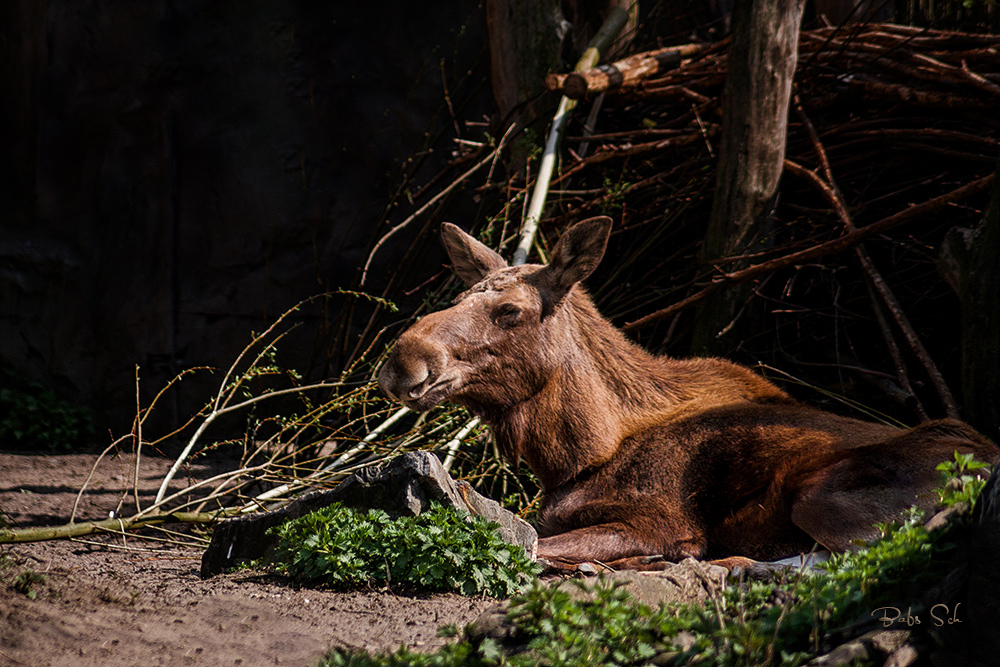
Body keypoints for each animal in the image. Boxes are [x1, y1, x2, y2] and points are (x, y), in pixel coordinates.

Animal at [378, 217, 996, 572]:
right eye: (460, 297)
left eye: (510, 311)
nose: (402, 362)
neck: (576, 455)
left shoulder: (658, 518)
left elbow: (527, 546)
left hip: (823, 494)